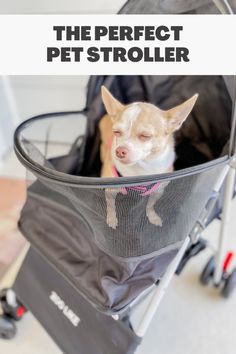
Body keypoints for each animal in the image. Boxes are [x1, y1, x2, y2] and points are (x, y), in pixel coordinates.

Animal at [99, 86, 197, 230]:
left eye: (145, 136)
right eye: (116, 132)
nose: (120, 151)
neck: (142, 167)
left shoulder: (158, 191)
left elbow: (150, 205)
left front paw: (152, 216)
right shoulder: (110, 190)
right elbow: (110, 206)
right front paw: (111, 219)